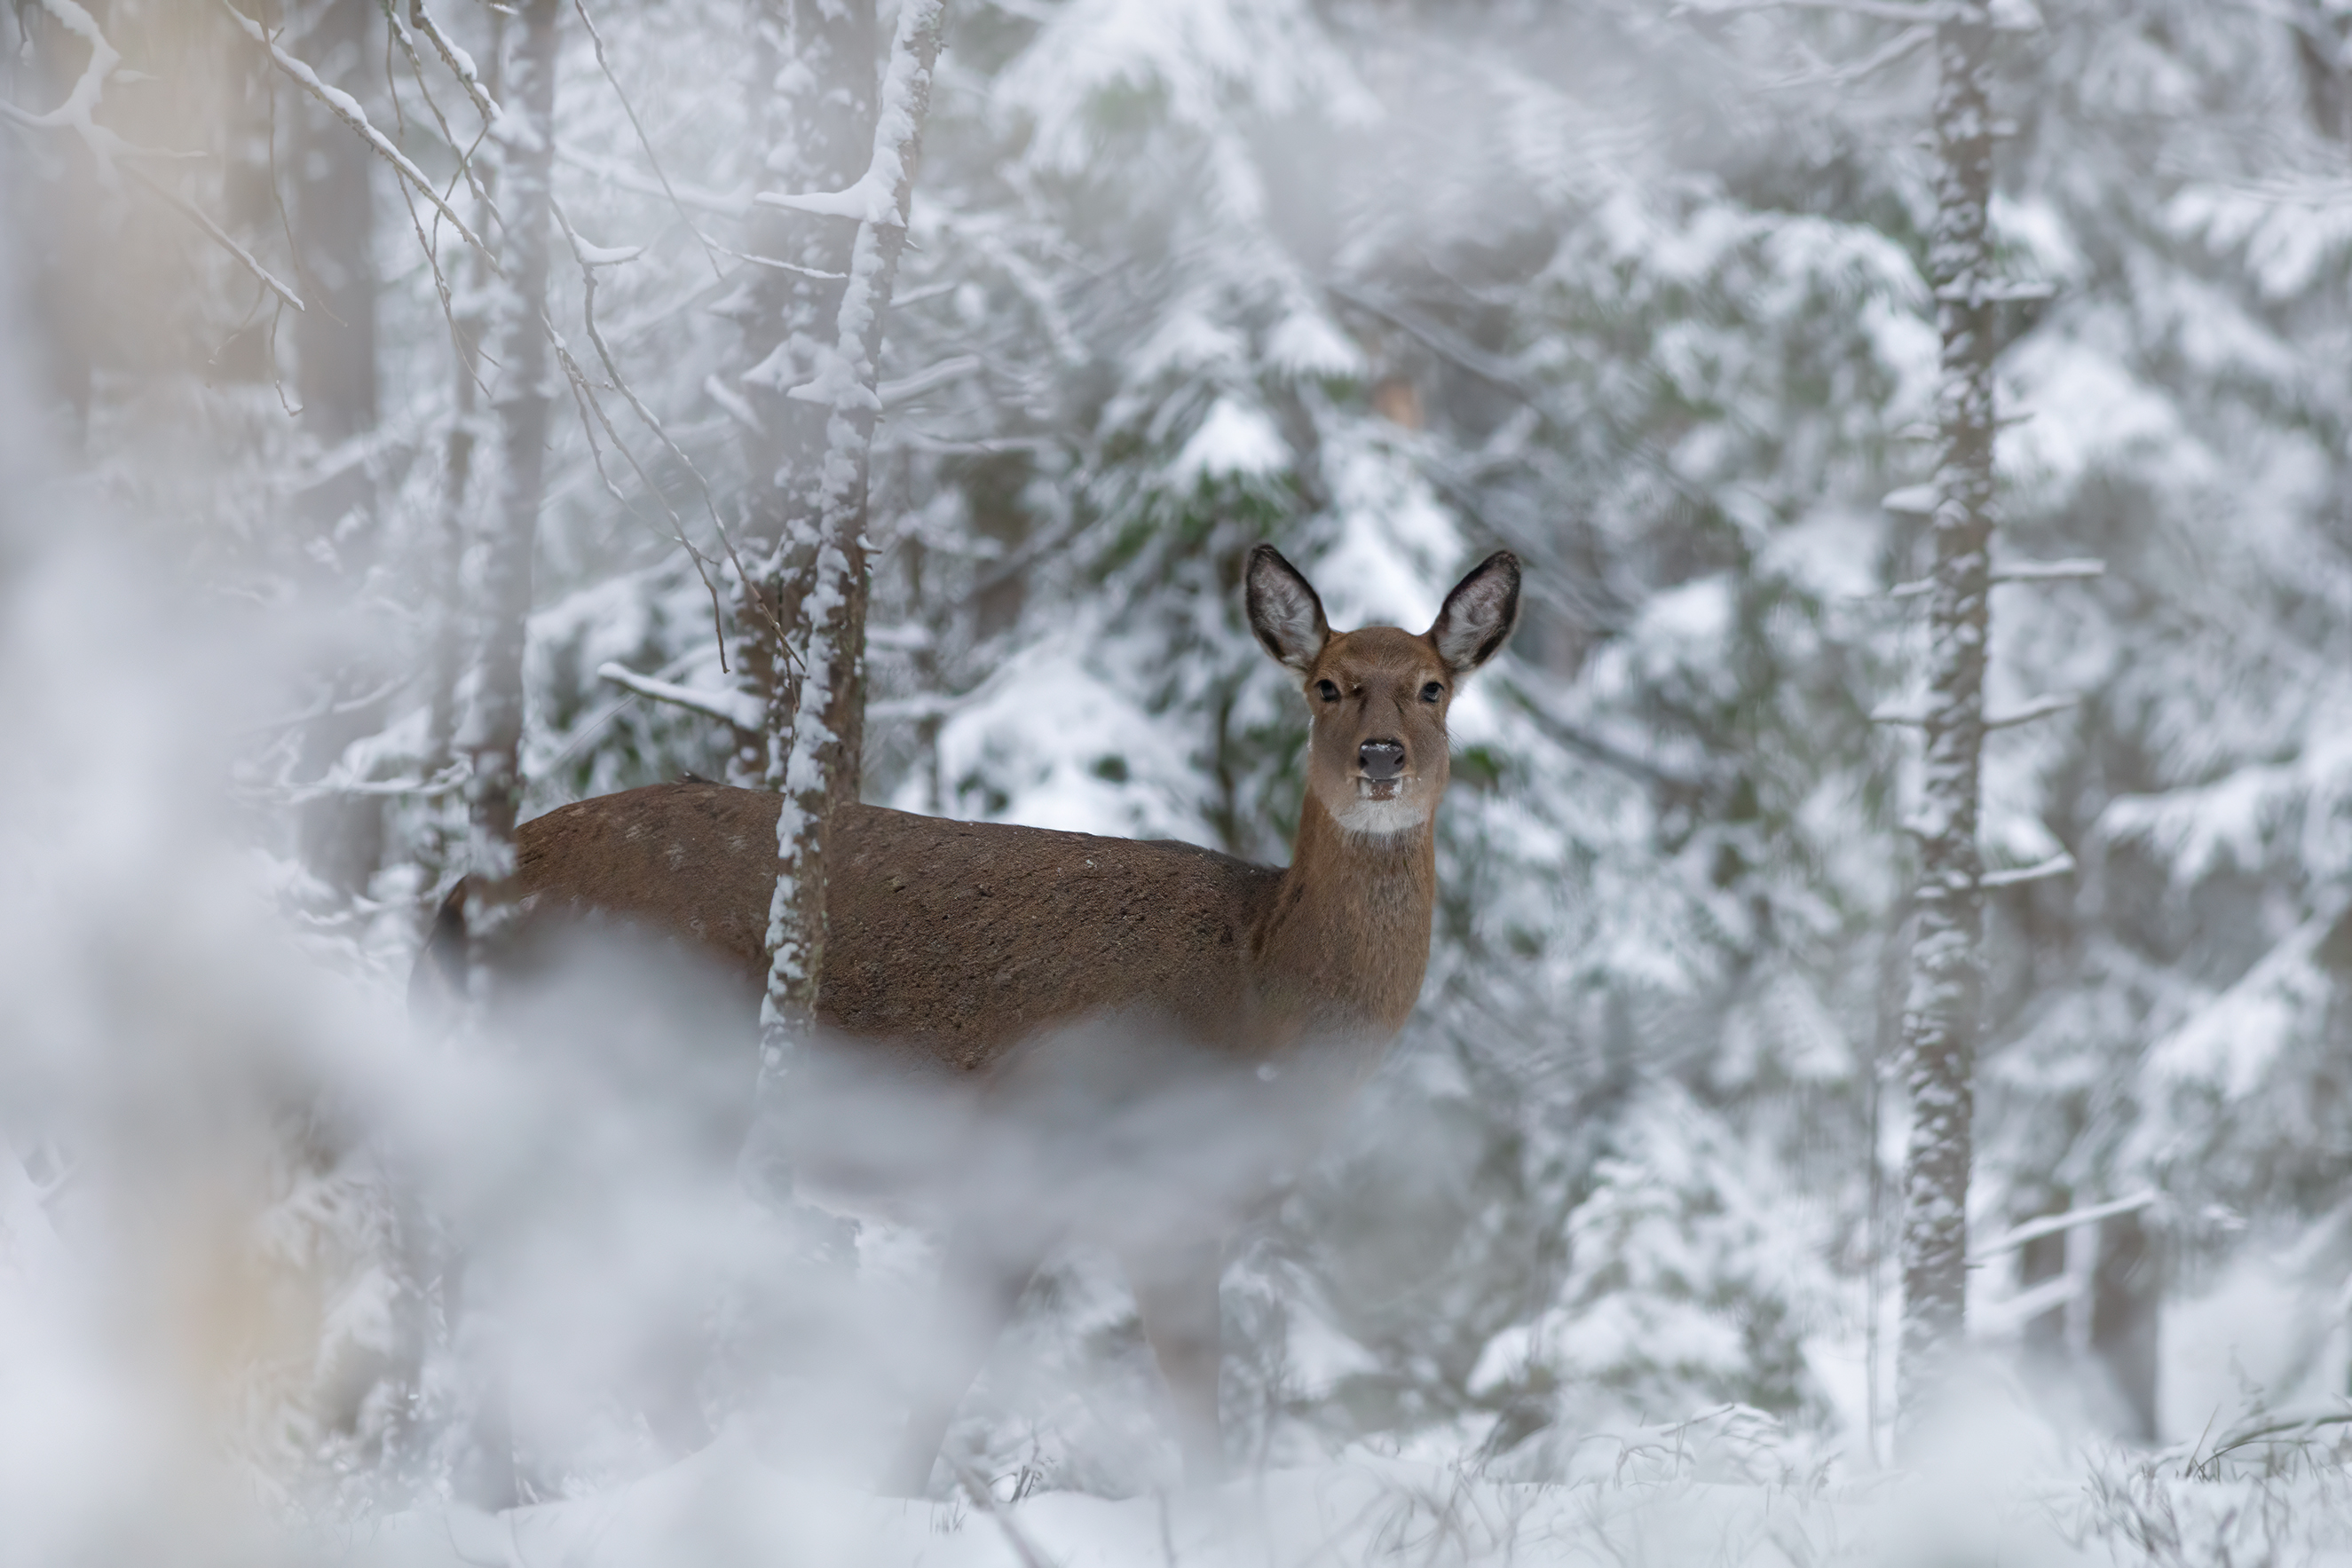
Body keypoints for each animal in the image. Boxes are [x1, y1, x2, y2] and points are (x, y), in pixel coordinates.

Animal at [418, 549, 1524, 1494]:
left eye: (1433, 685)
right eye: (1325, 685)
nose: (1379, 756)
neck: (1256, 995)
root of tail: (455, 902)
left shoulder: (1171, 1216)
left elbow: (1196, 1410)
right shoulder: (1033, 1156)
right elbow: (947, 1387)